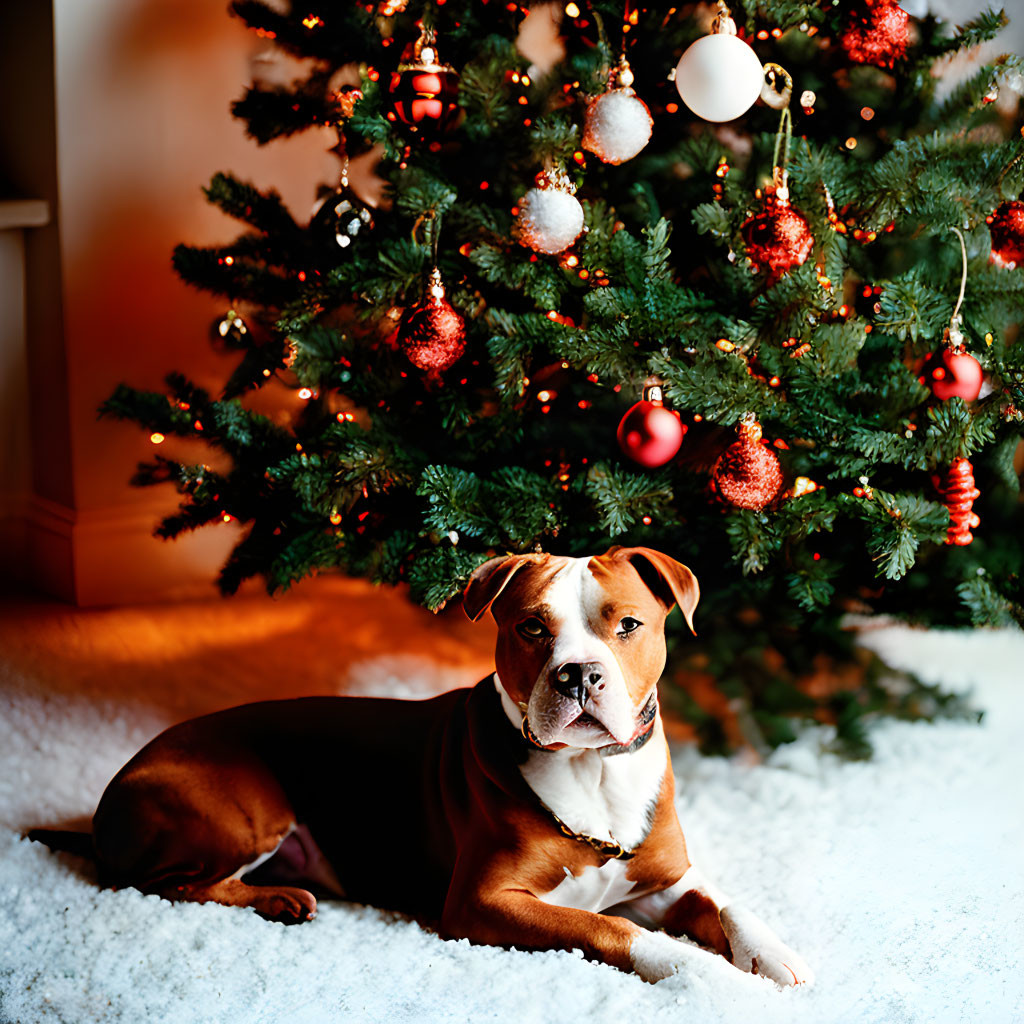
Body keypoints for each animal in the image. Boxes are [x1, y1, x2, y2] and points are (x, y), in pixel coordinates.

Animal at [28, 548, 811, 987]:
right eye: (532, 627)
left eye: (628, 626)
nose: (579, 675)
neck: (592, 771)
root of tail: (114, 792)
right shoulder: (484, 904)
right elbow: (613, 930)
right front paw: (697, 969)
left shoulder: (667, 878)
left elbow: (729, 904)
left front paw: (772, 954)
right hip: (243, 807)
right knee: (160, 885)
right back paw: (276, 899)